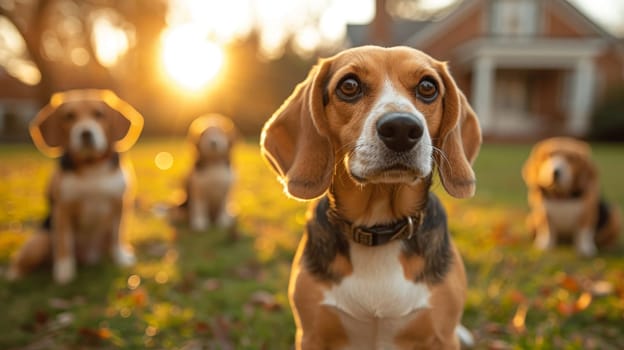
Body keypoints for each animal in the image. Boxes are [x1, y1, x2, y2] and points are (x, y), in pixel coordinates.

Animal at [7, 89, 144, 284]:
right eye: (69, 116)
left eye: (98, 114)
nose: (85, 133)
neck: (91, 166)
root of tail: (87, 258)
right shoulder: (62, 210)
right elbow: (64, 243)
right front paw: (64, 272)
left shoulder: (120, 204)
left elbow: (118, 236)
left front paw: (121, 259)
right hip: (40, 241)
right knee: (20, 263)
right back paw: (14, 276)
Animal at [260, 45, 480, 348]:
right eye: (349, 85)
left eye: (427, 87)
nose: (401, 128)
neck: (379, 228)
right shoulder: (311, 335)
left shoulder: (443, 338)